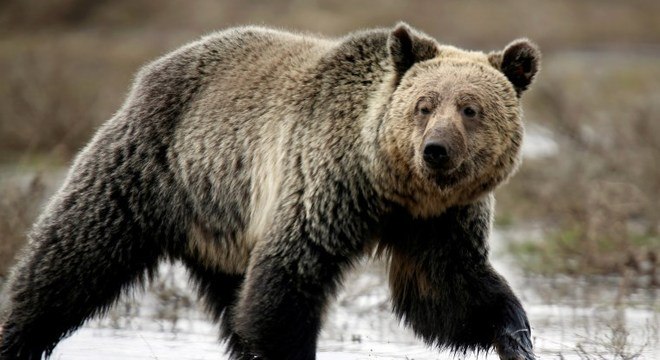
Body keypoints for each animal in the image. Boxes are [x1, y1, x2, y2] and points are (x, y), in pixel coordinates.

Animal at [0, 23, 540, 360]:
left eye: (470, 108)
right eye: (424, 105)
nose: (435, 150)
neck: (392, 186)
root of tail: (154, 69)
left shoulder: (440, 221)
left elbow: (448, 293)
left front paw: (517, 336)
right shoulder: (324, 184)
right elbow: (287, 283)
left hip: (224, 224)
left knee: (233, 304)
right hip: (149, 169)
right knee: (70, 260)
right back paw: (17, 334)